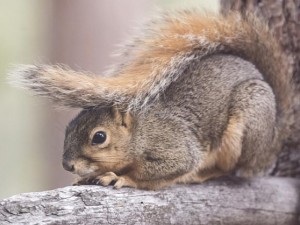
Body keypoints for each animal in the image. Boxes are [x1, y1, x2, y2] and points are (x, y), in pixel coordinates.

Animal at [9, 10, 292, 190]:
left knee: (231, 169)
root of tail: (273, 139)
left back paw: (200, 174)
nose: (67, 165)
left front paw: (123, 178)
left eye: (99, 137)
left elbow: (161, 170)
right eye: (68, 128)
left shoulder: (174, 146)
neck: (141, 132)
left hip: (247, 120)